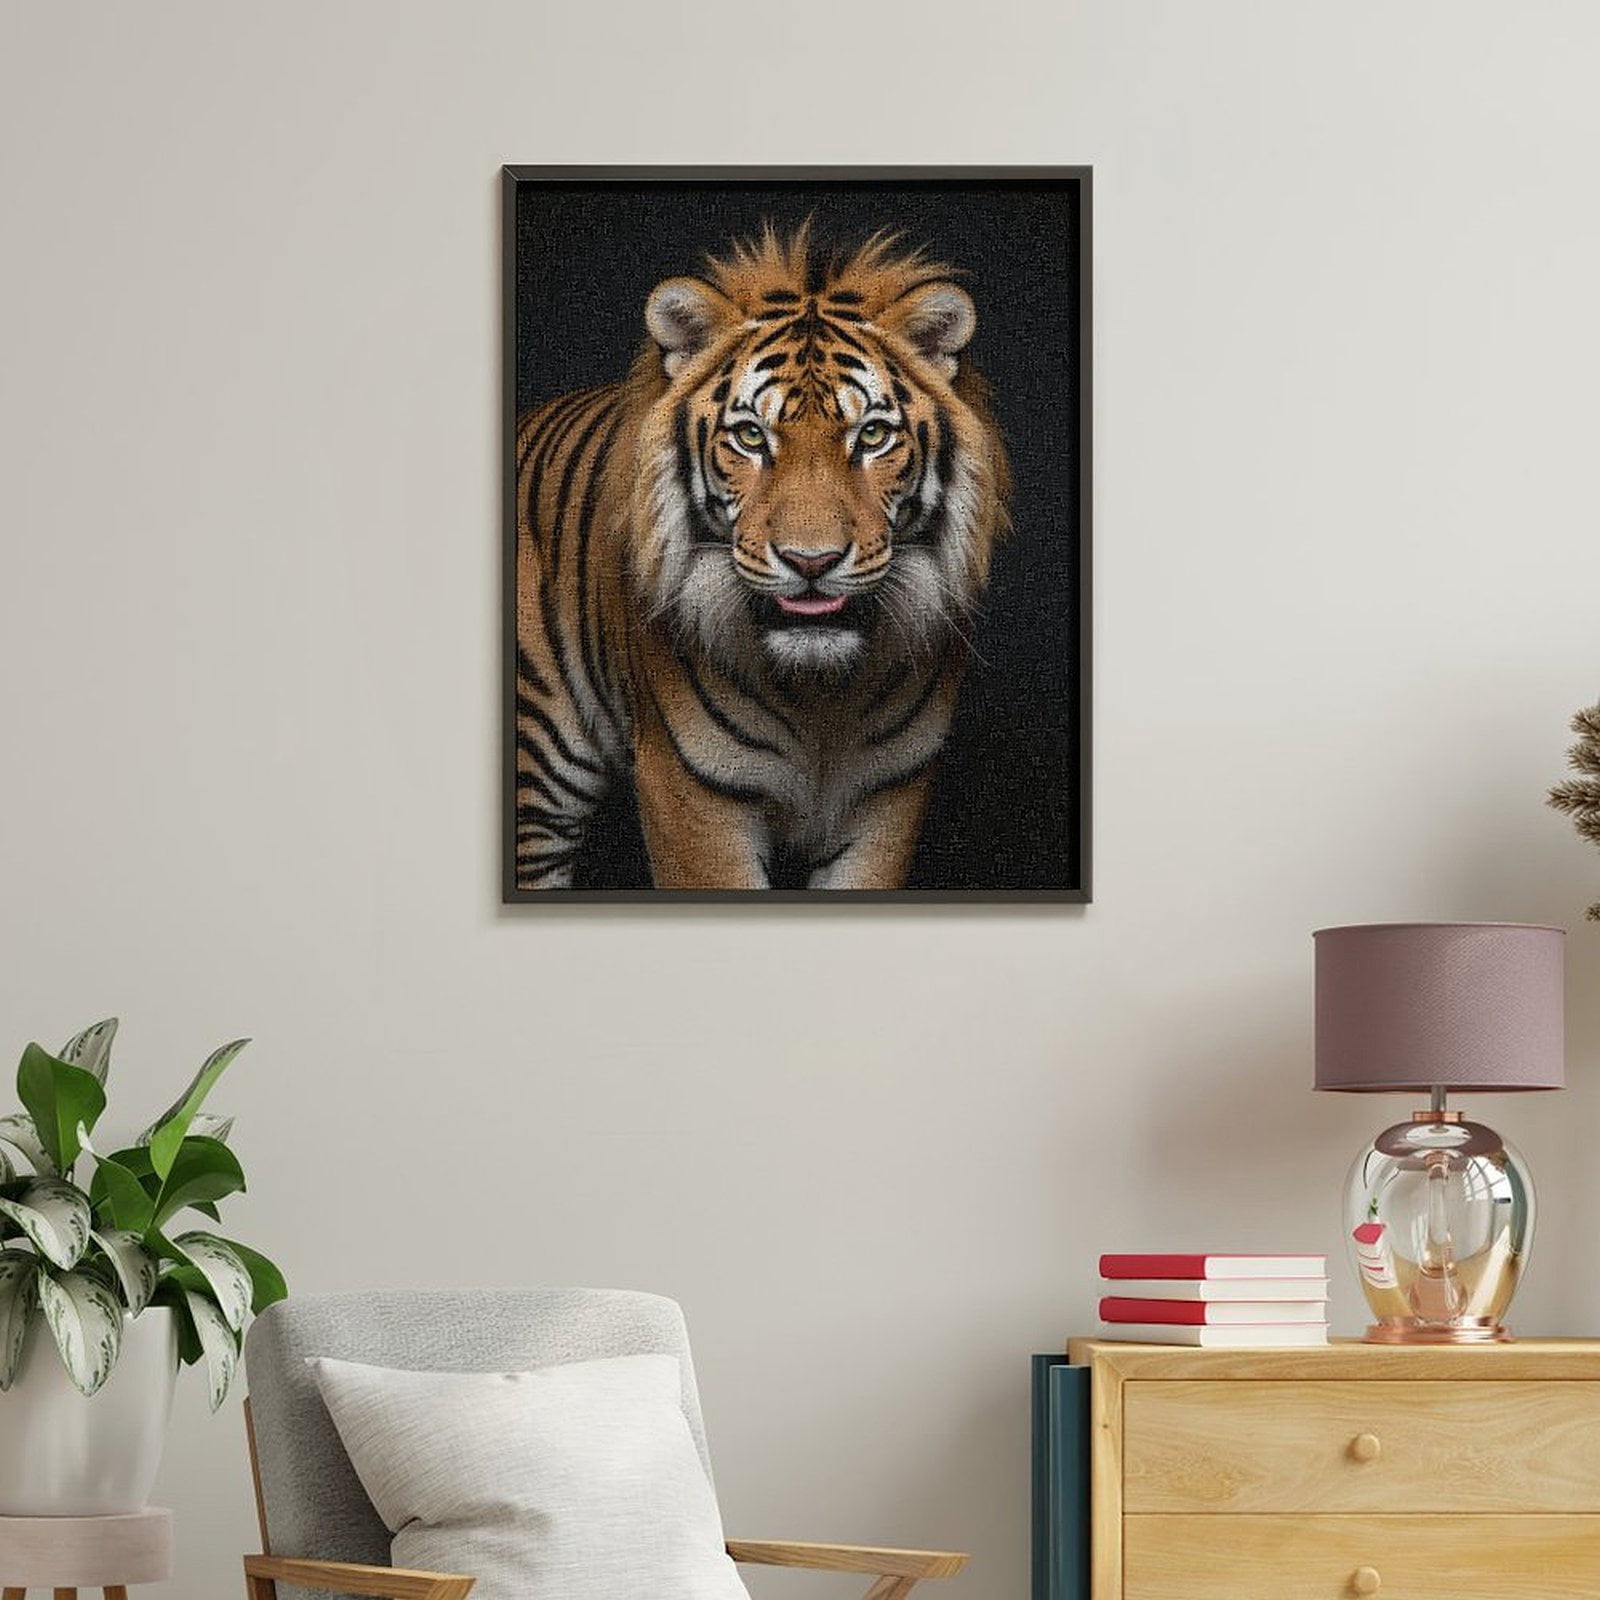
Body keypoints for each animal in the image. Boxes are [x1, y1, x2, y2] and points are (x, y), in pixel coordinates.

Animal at [513, 225, 1012, 891]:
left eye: (872, 436)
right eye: (751, 437)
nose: (811, 562)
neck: (823, 697)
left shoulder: (888, 799)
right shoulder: (693, 796)